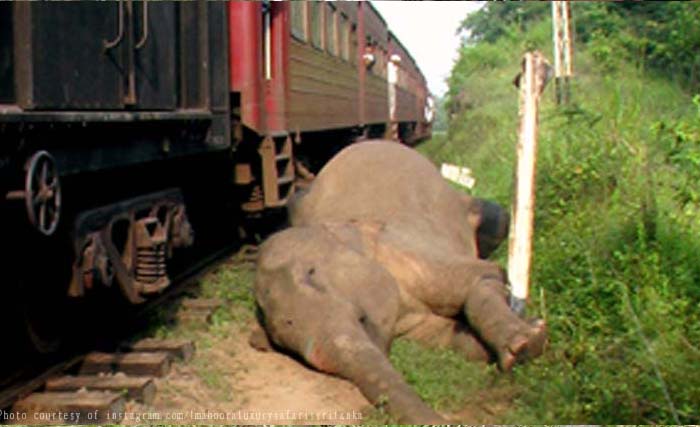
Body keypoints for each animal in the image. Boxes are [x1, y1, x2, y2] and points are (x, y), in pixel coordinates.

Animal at [252, 141, 548, 424]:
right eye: (279, 340)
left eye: (311, 274)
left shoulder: (406, 249)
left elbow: (487, 274)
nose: (440, 419)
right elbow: (451, 338)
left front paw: (528, 340)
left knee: (498, 218)